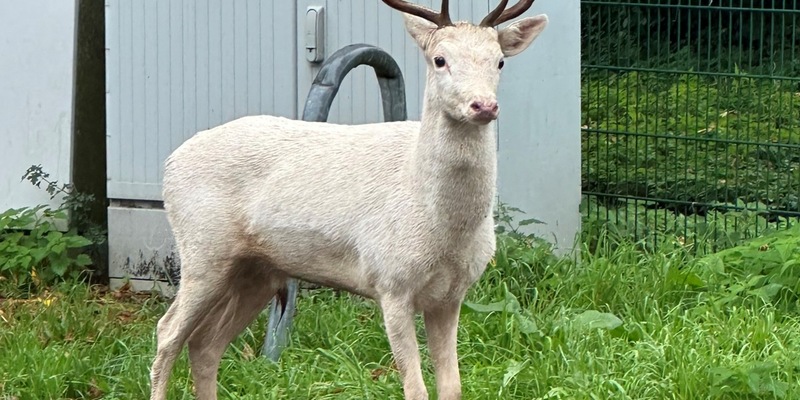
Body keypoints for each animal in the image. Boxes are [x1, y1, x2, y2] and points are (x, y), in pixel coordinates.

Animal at [149, 1, 548, 399]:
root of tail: (169, 164)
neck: (441, 227)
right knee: (168, 332)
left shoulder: (452, 295)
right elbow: (415, 389)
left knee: (205, 343)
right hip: (202, 250)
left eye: (499, 61)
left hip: (256, 270)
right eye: (440, 59)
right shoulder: (391, 281)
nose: (483, 106)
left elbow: (452, 388)